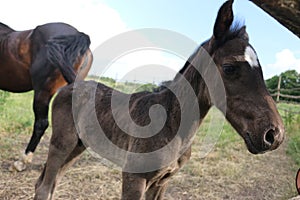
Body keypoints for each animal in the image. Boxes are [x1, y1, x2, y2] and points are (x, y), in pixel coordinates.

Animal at [34, 0, 284, 199]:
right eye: (229, 67)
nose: (274, 135)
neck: (172, 123)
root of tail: (73, 82)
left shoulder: (162, 182)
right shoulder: (134, 178)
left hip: (78, 146)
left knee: (48, 183)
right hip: (61, 144)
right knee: (44, 187)